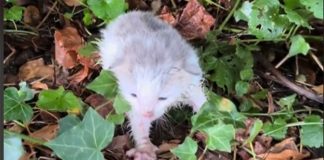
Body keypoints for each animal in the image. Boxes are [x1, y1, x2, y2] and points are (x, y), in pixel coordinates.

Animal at [98, 10, 206, 159]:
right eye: (134, 95)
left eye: (162, 98)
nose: (147, 114)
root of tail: (132, 13)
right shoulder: (133, 106)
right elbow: (139, 124)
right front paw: (145, 151)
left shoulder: (190, 81)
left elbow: (201, 101)